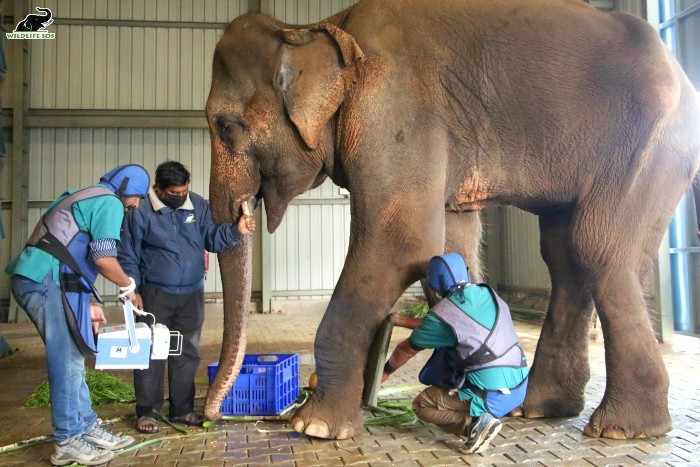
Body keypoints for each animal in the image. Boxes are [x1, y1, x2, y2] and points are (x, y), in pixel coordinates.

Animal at [205, 0, 700, 442]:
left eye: (225, 127)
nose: (209, 415)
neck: (320, 26)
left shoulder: (393, 103)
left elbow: (402, 240)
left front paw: (314, 425)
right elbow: (448, 243)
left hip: (651, 144)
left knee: (595, 246)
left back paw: (623, 428)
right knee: (564, 255)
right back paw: (537, 409)